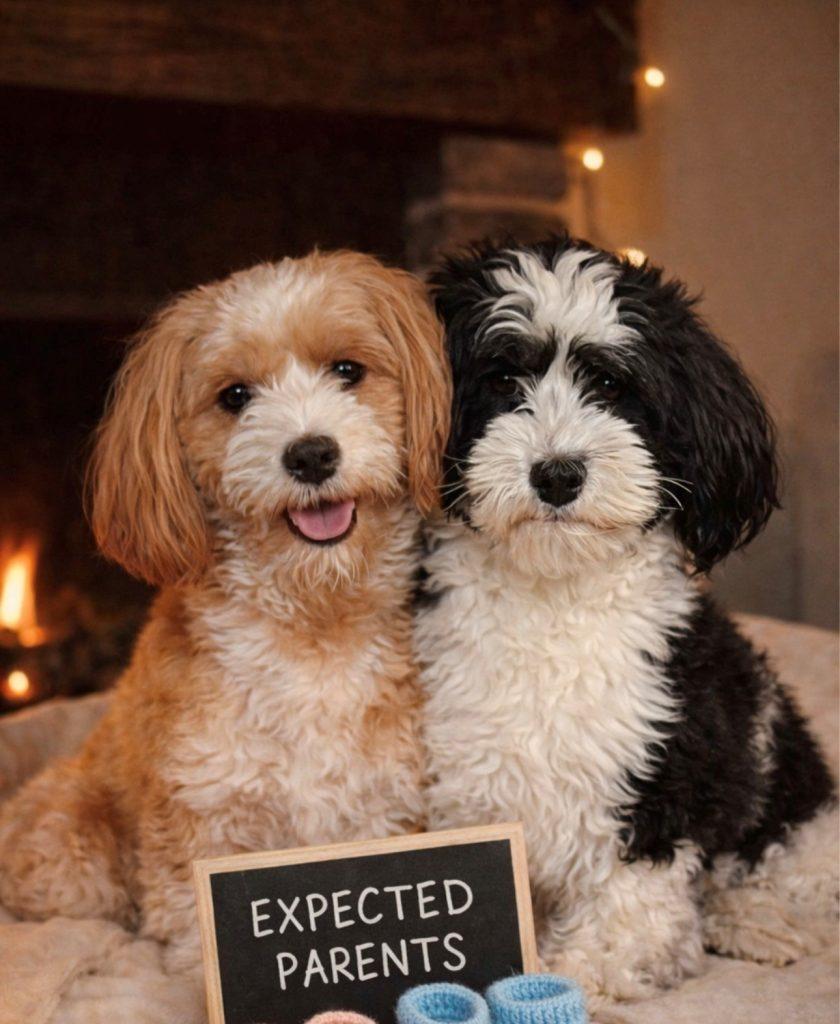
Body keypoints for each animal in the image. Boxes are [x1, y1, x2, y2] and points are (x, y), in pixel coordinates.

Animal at [0, 250, 450, 971]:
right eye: (235, 396)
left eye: (347, 370)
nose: (311, 454)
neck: (311, 626)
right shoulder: (203, 820)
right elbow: (192, 936)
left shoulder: (382, 809)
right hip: (73, 852)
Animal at [415, 235, 837, 1003]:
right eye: (502, 380)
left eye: (612, 386)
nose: (557, 474)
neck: (551, 601)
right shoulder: (461, 776)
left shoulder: (665, 759)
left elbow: (633, 884)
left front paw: (589, 968)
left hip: (786, 790)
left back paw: (754, 920)